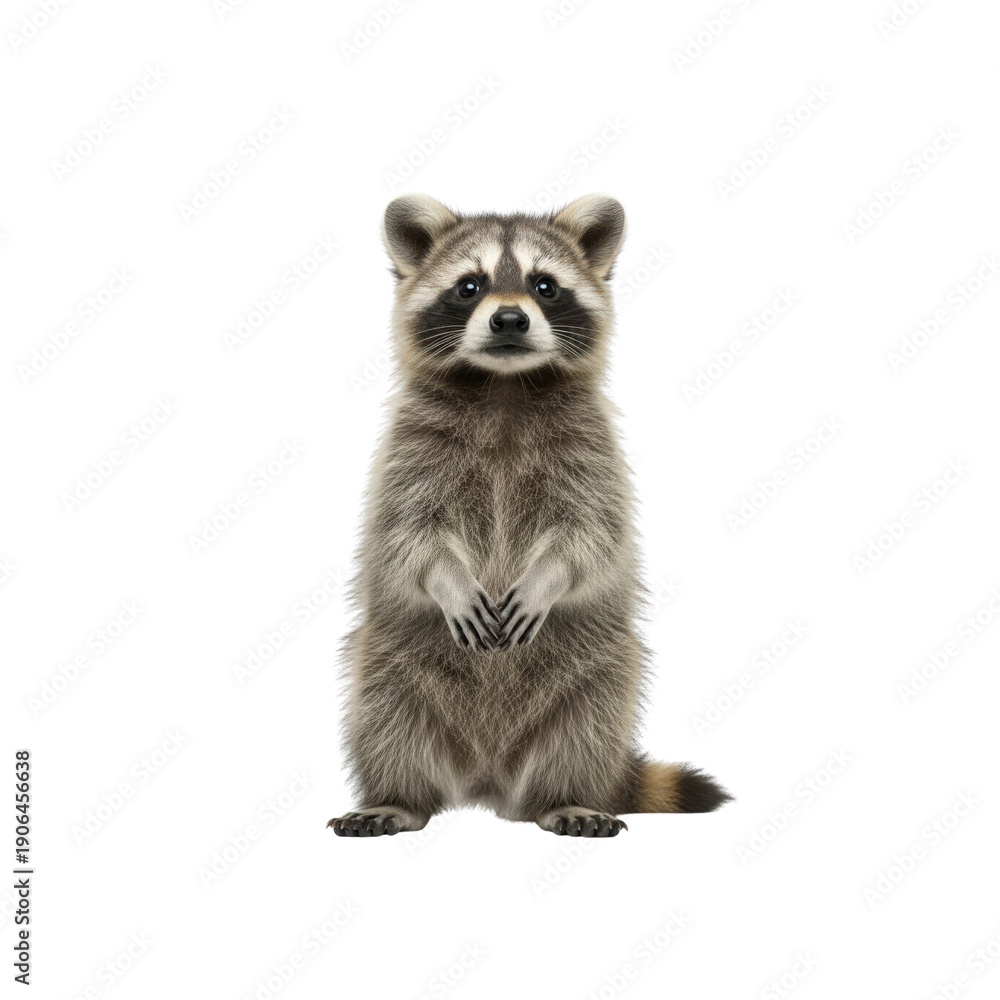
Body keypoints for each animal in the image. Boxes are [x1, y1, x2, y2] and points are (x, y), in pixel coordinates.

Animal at [329, 194, 731, 838]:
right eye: (469, 286)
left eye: (546, 286)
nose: (510, 320)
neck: (504, 387)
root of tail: (486, 780)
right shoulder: (407, 452)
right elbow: (406, 535)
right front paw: (447, 578)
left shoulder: (593, 451)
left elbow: (592, 533)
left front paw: (551, 575)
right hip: (390, 660)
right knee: (384, 716)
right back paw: (398, 797)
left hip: (597, 668)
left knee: (588, 719)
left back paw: (563, 797)